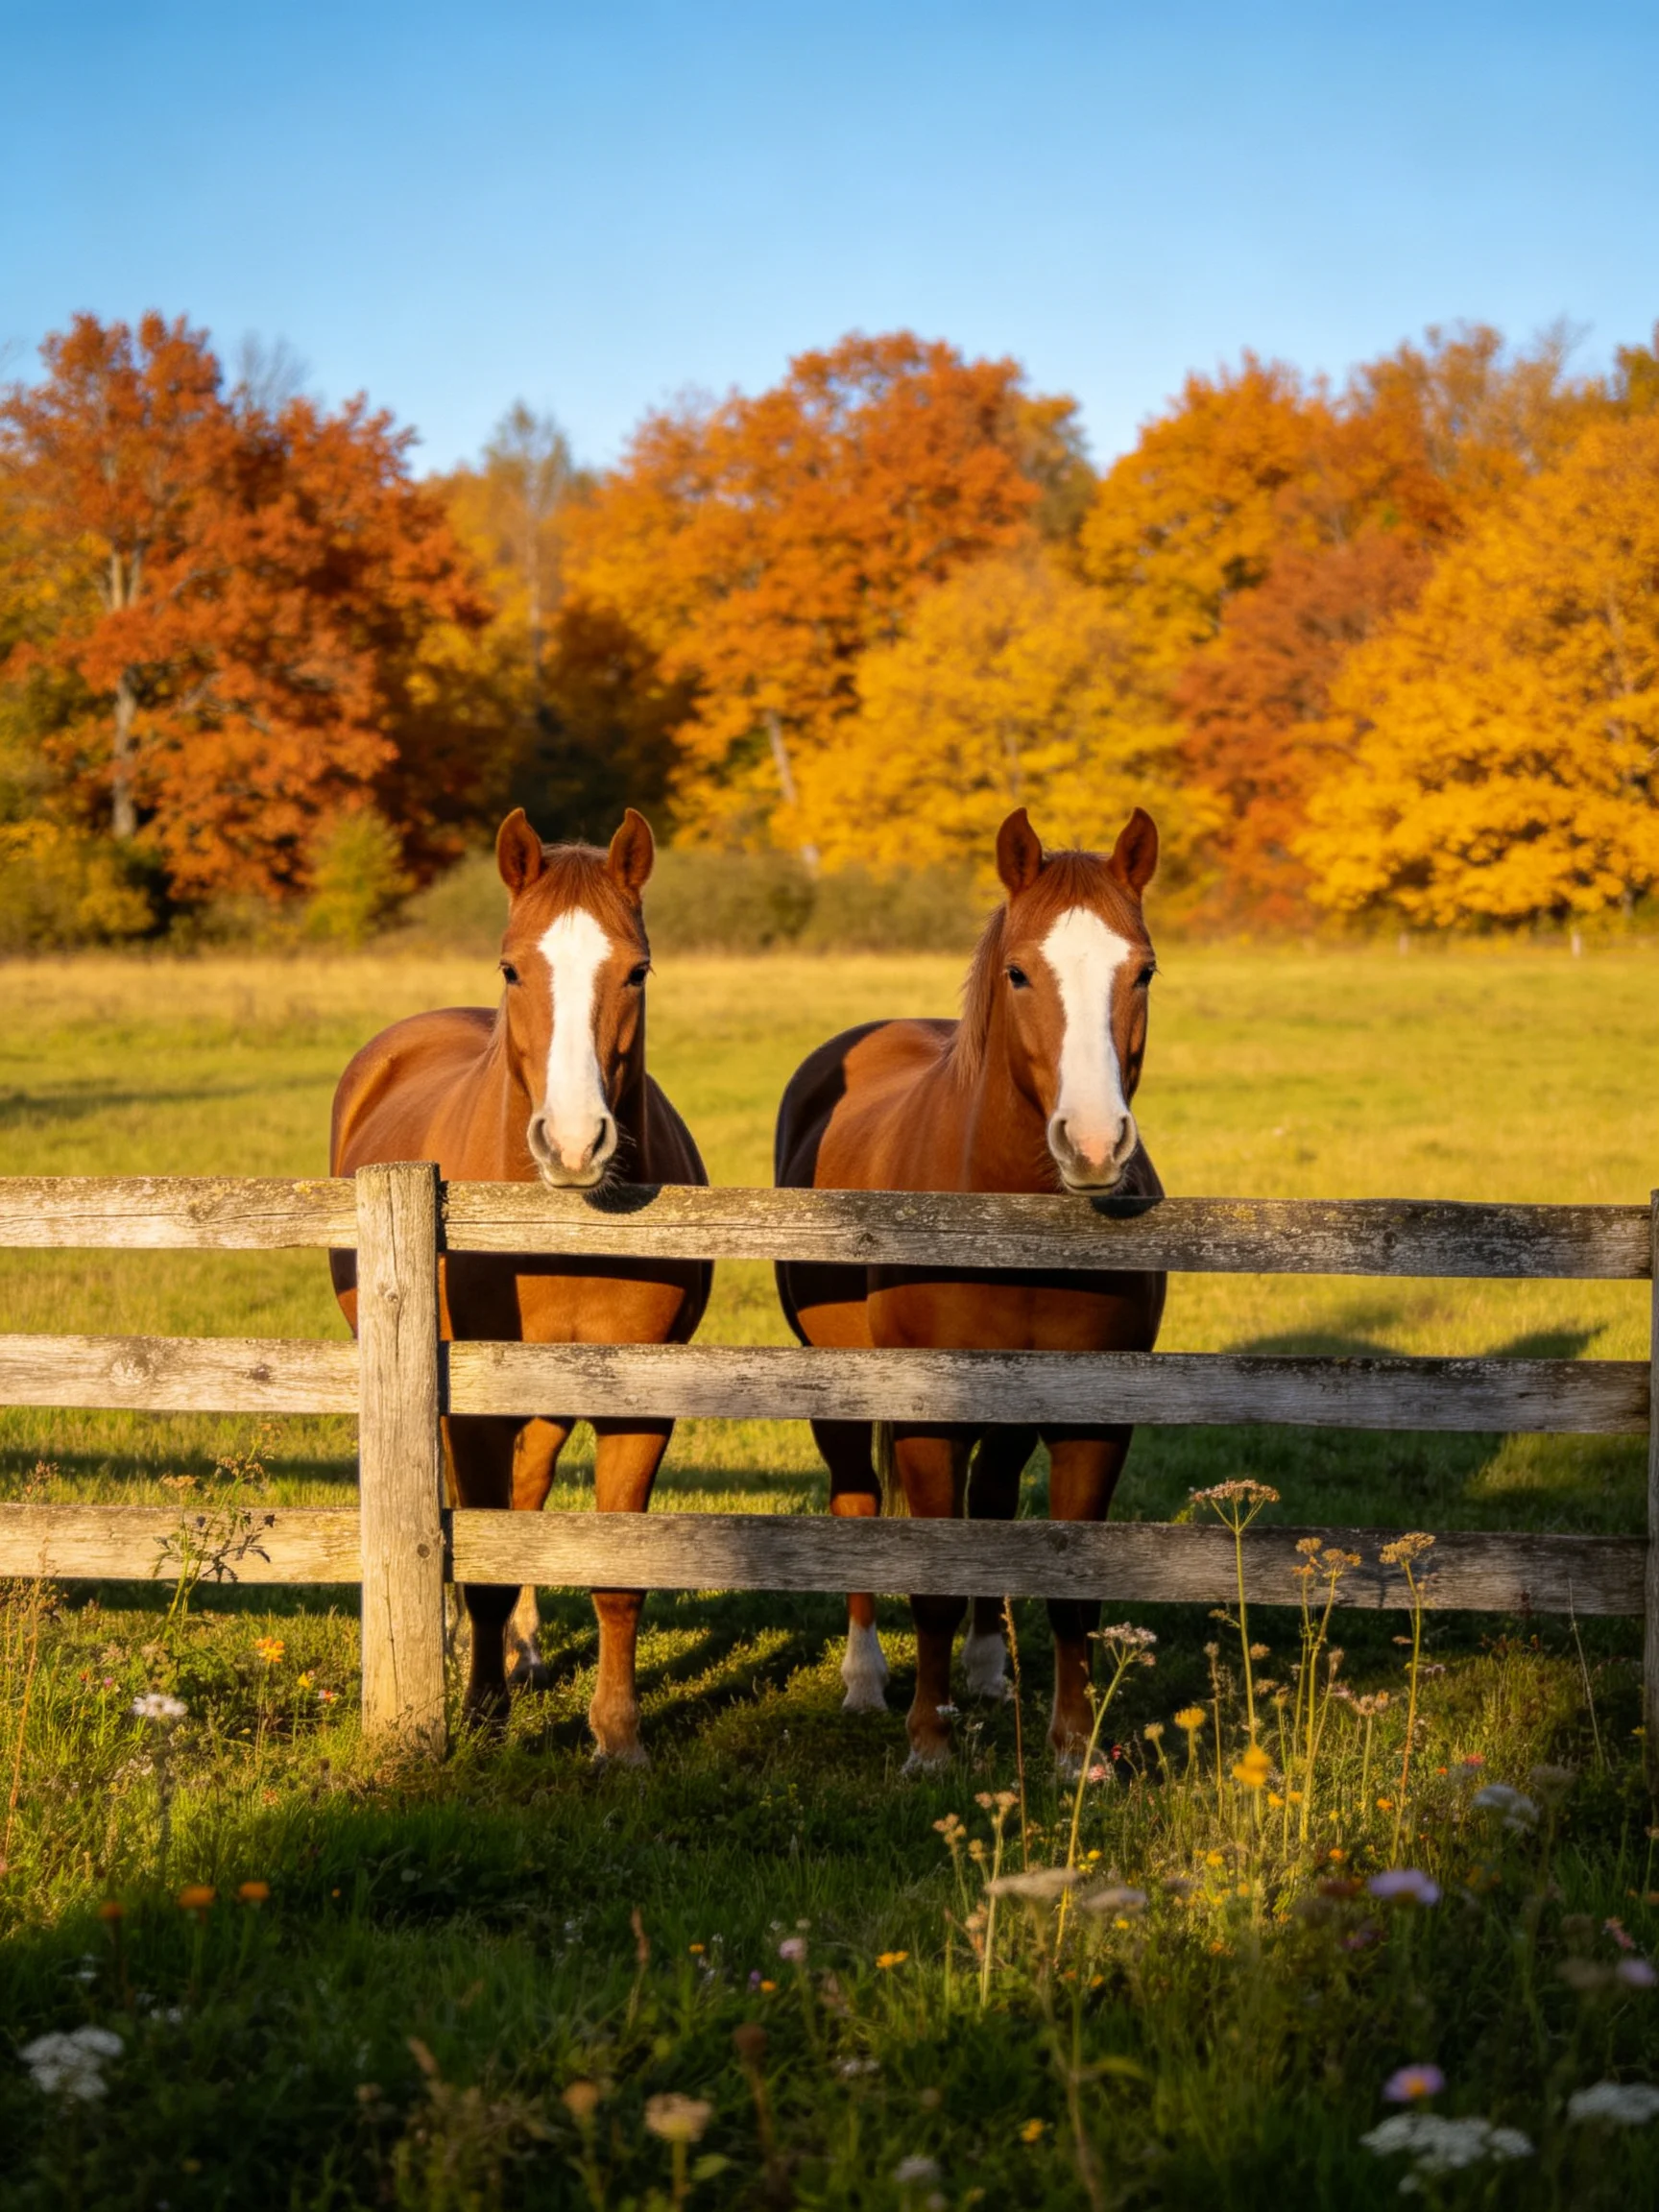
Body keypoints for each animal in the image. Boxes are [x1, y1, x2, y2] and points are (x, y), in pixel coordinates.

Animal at [329, 806, 711, 1762]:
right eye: (511, 966)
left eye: (638, 969)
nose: (574, 1143)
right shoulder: (472, 1404)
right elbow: (485, 1566)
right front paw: (481, 1717)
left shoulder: (641, 1403)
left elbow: (614, 1573)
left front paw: (618, 1734)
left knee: (528, 1495)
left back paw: (525, 1651)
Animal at [773, 805, 1166, 1769]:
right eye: (1019, 972)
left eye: (1143, 970)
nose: (1093, 1144)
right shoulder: (928, 1415)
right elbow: (934, 1580)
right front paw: (927, 1742)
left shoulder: (1093, 1418)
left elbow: (1069, 1587)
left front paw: (1076, 1751)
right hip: (840, 1390)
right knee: (857, 1501)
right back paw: (866, 1679)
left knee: (988, 1502)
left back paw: (987, 1672)